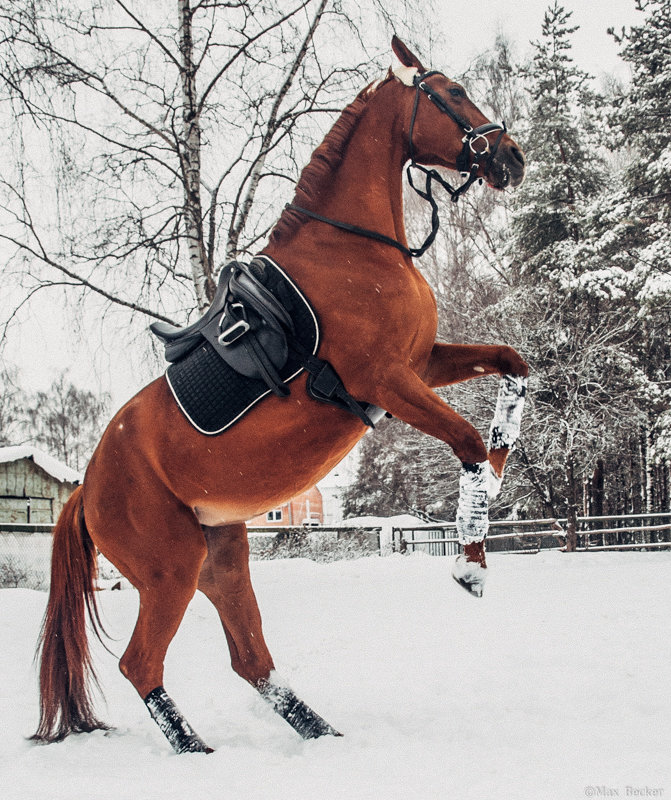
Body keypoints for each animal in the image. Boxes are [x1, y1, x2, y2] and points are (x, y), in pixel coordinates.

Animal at [32, 36, 532, 752]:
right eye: (455, 92)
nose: (512, 156)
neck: (354, 247)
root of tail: (88, 486)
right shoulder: (388, 379)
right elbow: (462, 438)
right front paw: (471, 565)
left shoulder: (424, 364)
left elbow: (513, 366)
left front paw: (499, 459)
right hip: (170, 568)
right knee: (141, 663)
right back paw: (197, 751)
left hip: (221, 558)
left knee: (251, 661)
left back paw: (322, 734)